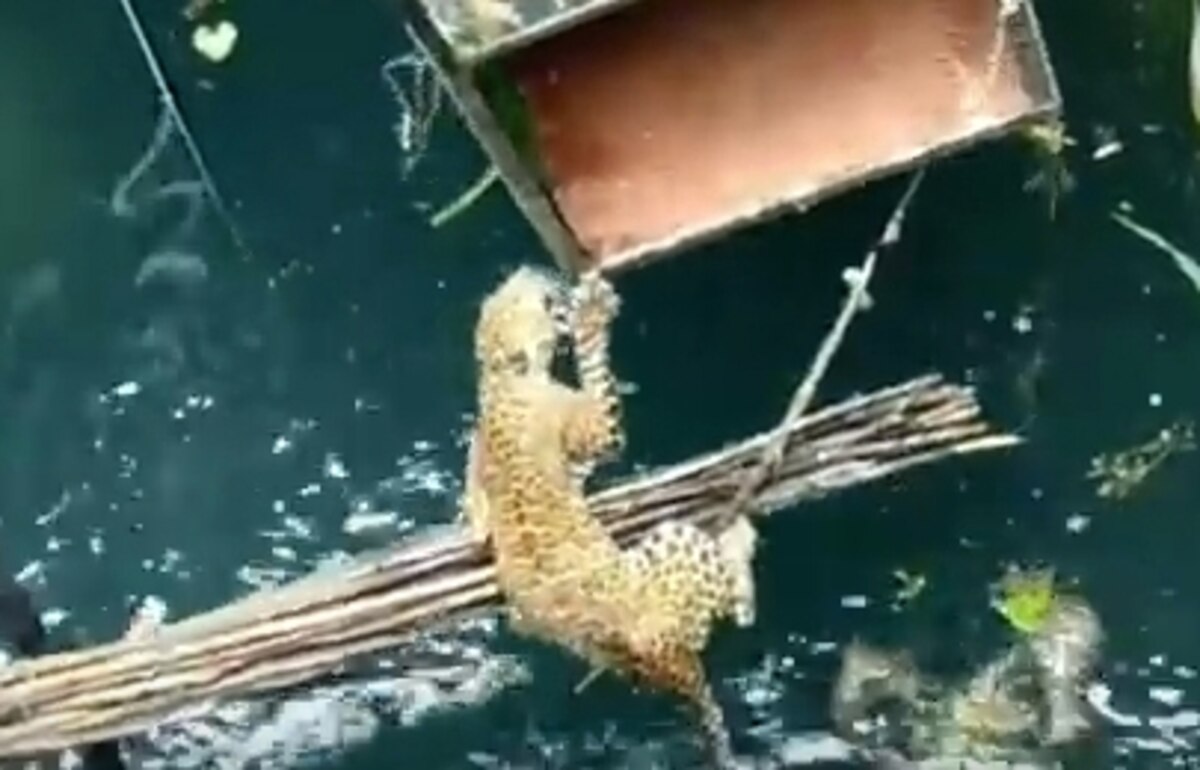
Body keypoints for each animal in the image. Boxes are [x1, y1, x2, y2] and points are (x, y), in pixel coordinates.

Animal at [459, 264, 759, 768]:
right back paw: (739, 537)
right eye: (523, 299)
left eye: (500, 296)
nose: (526, 271)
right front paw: (592, 313)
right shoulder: (594, 430)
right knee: (741, 605)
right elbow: (600, 383)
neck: (499, 382)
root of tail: (671, 667)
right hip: (674, 544)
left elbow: (478, 517)